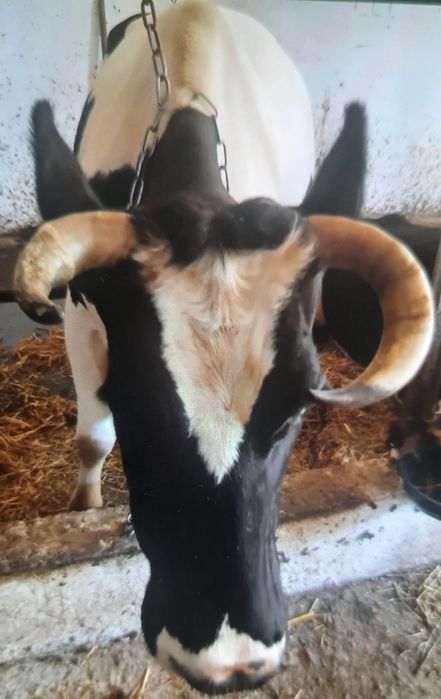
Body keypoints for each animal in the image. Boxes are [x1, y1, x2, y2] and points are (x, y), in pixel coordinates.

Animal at [13, 0, 433, 694]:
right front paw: (84, 508)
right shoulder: (80, 312)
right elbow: (92, 437)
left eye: (296, 410)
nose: (228, 662)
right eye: (131, 403)